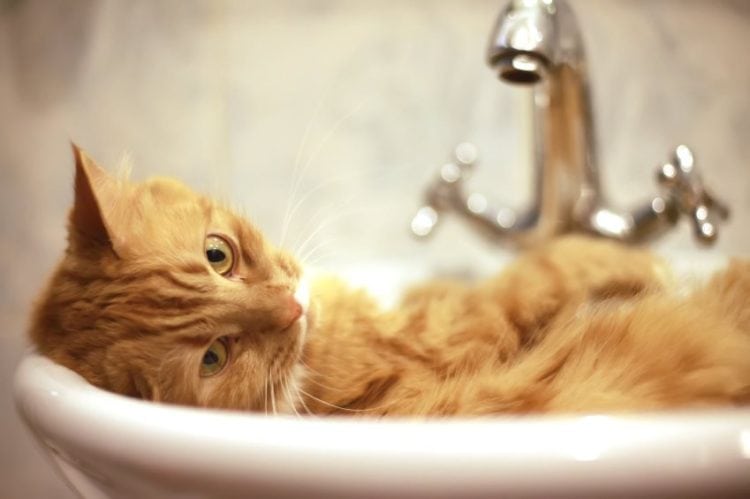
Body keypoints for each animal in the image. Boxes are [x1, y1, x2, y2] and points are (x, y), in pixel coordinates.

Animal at [26, 147, 750, 418]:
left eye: (218, 255)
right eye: (214, 356)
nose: (290, 307)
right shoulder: (447, 332)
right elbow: (536, 272)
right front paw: (624, 262)